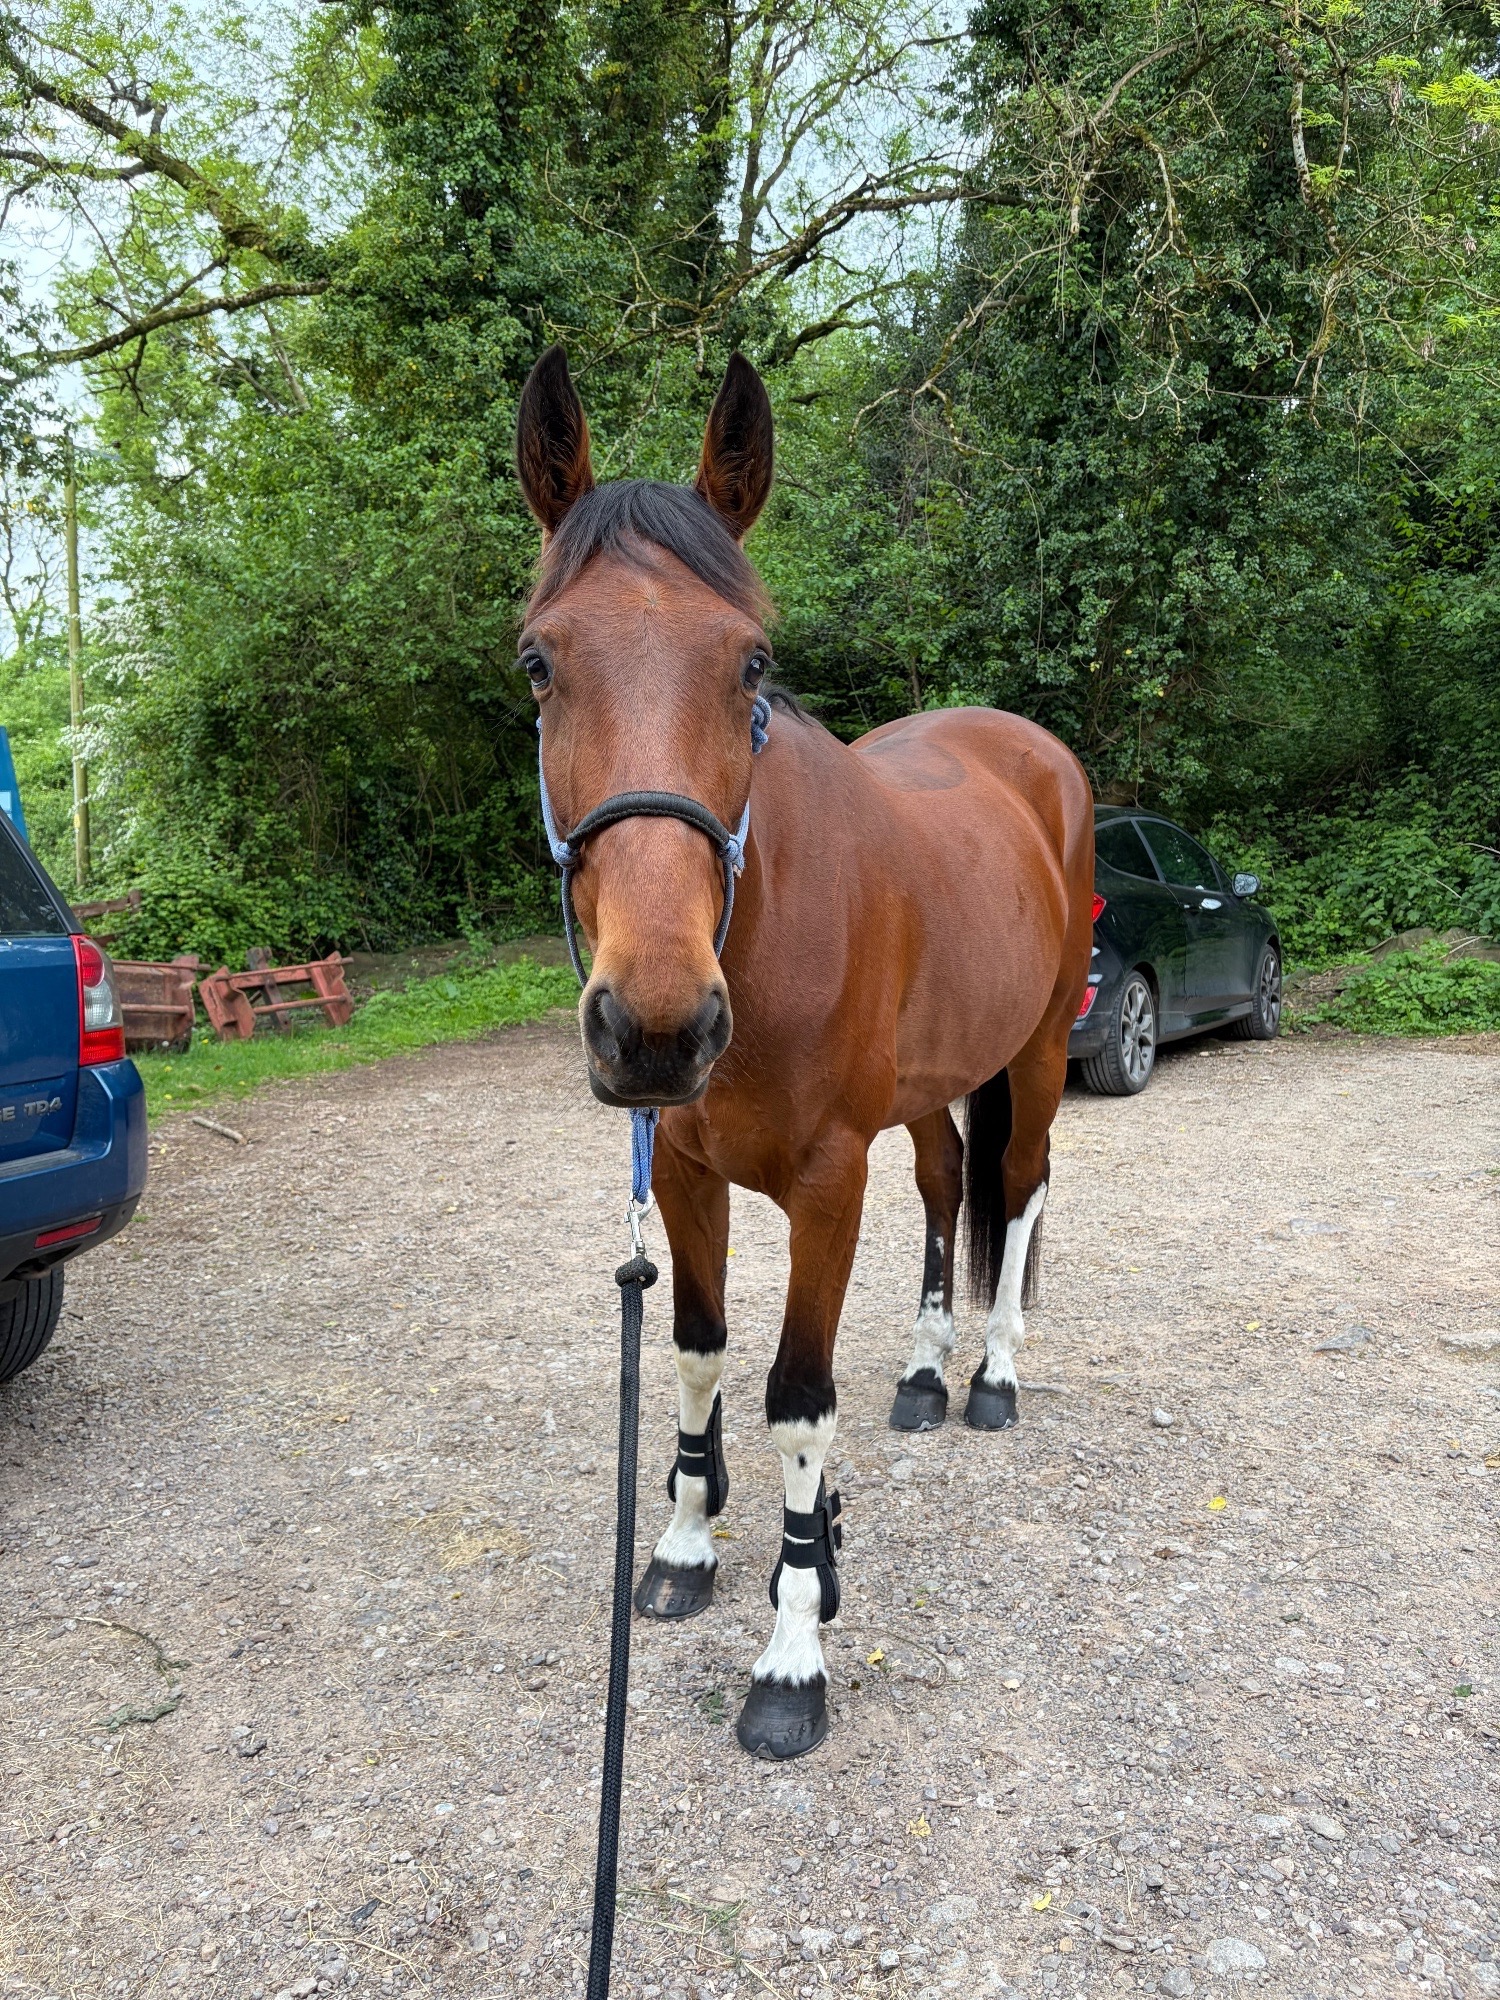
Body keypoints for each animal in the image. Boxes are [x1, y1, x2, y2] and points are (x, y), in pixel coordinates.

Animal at [515, 345, 1094, 1760]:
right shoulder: (682, 1171)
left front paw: (793, 1645)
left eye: (752, 662)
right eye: (541, 664)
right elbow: (696, 1349)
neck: (758, 922)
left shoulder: (830, 1182)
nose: (657, 1024)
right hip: (934, 1087)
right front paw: (683, 1544)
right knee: (949, 1183)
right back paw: (929, 1370)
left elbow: (795, 1398)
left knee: (1021, 1185)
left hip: (1038, 1050)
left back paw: (993, 1373)